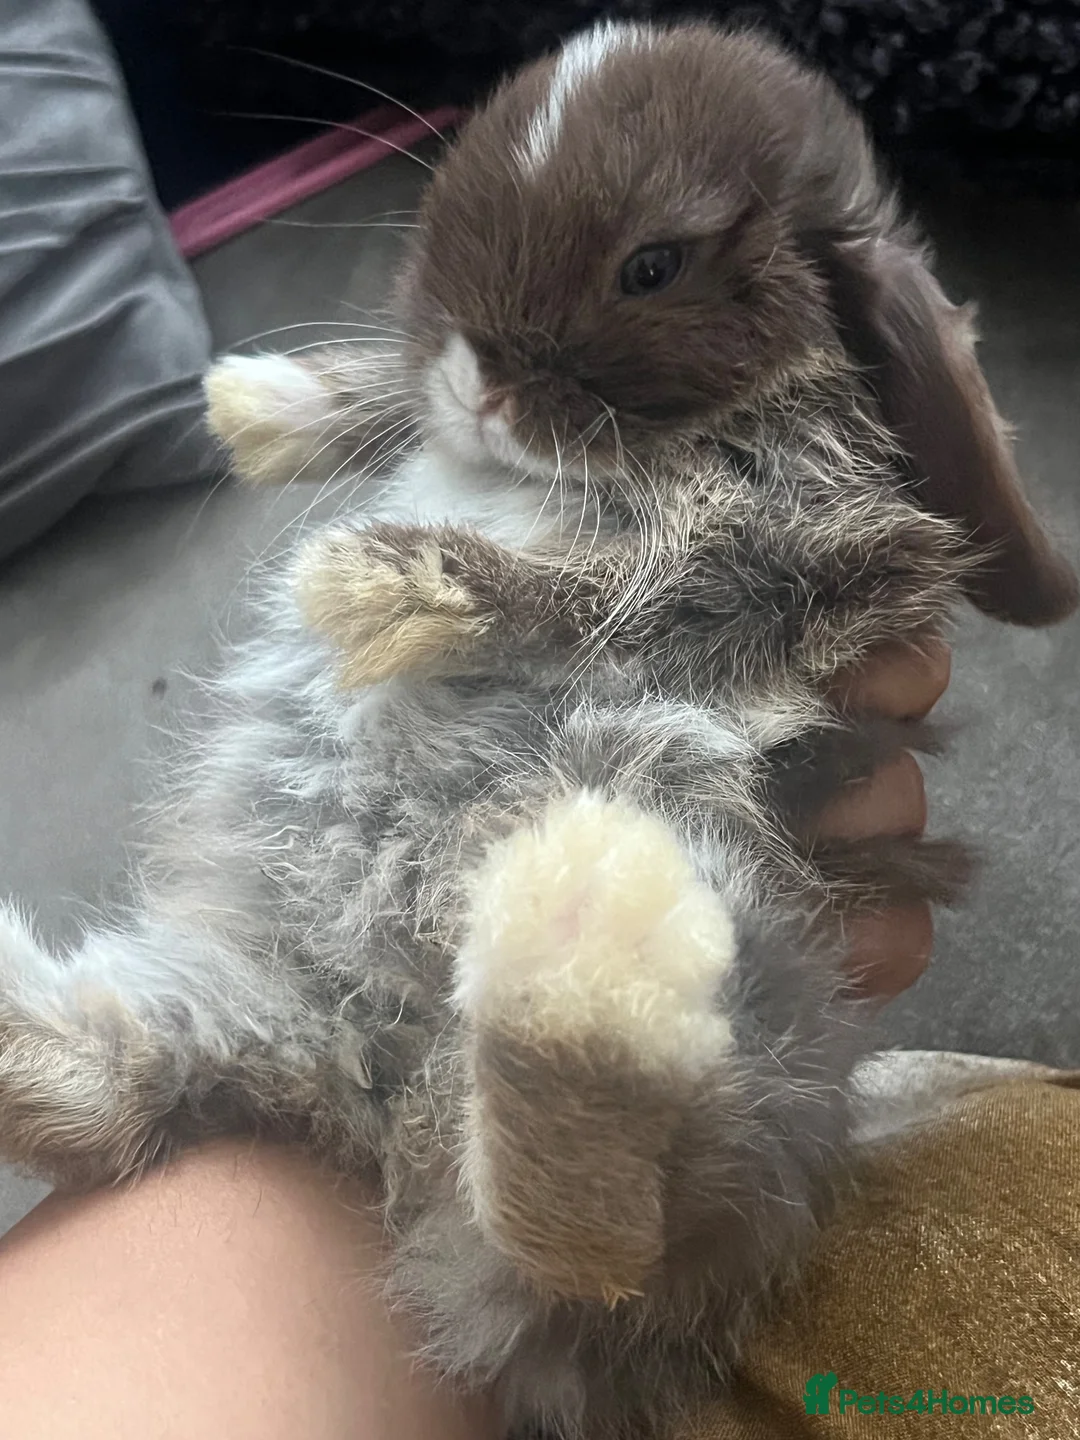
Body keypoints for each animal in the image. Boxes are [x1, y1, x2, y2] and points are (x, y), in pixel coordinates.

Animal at [2, 18, 1075, 1440]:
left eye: (654, 264)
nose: (473, 379)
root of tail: (374, 1096)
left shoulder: (774, 549)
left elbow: (605, 587)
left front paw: (371, 581)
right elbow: (393, 421)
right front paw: (258, 405)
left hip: (759, 1018)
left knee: (598, 1237)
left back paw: (585, 950)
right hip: (235, 1011)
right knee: (111, 1087)